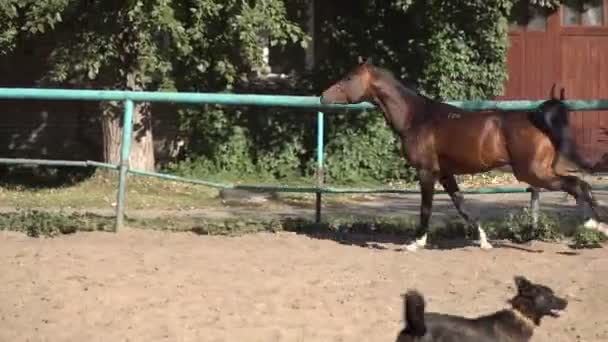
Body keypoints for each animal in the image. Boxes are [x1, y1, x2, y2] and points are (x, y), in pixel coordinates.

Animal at [318, 58, 604, 251]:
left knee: (577, 184)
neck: (417, 118)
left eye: (348, 78)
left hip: (533, 173)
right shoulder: (446, 174)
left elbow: (426, 208)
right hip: (539, 171)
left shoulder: (427, 172)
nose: (322, 97)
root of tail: (537, 118)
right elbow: (462, 205)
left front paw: (416, 242)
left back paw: (596, 225)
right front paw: (484, 241)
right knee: (579, 185)